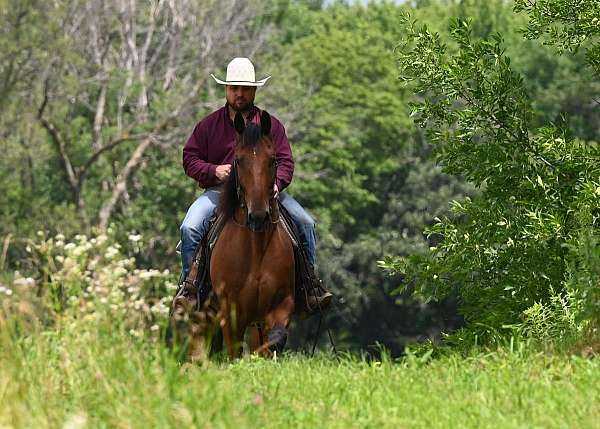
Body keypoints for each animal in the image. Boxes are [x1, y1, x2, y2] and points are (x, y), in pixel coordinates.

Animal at [207, 110, 296, 358]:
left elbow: (275, 339)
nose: (258, 217)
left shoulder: (280, 305)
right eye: (238, 160)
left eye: (273, 160)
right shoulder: (231, 315)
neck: (255, 249)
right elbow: (234, 353)